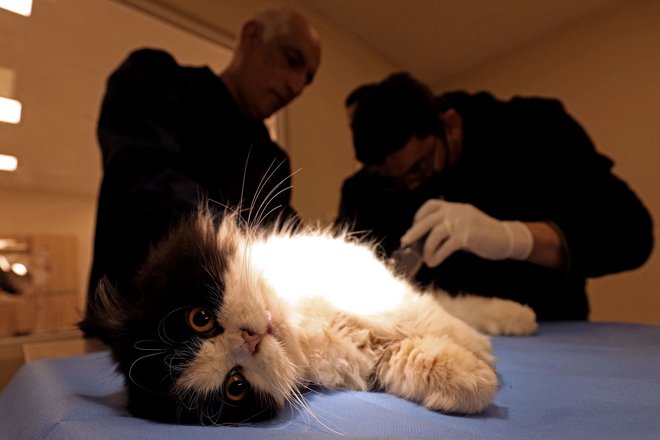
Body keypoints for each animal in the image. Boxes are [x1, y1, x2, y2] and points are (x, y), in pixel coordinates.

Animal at [81, 210, 536, 426]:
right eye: (235, 386)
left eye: (199, 319)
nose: (249, 339)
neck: (302, 321)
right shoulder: (369, 357)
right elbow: (416, 359)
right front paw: (476, 379)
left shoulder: (375, 289)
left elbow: (425, 319)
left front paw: (480, 351)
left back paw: (517, 318)